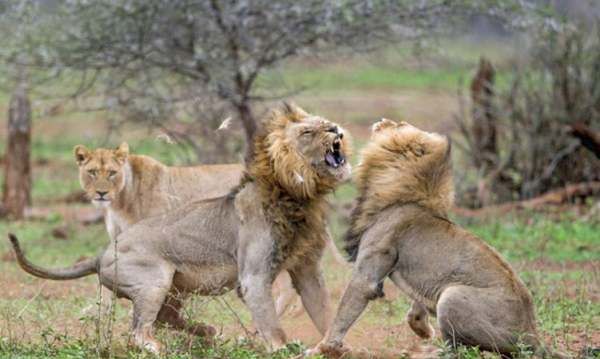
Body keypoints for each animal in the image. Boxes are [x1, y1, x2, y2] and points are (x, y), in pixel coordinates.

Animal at [9, 104, 352, 354]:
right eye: (308, 131)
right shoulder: (253, 276)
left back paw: (206, 333)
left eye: (327, 123)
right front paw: (283, 348)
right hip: (155, 278)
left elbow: (324, 311)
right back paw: (163, 346)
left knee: (163, 318)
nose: (336, 129)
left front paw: (336, 347)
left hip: (167, 286)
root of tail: (102, 253)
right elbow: (271, 322)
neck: (300, 196)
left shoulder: (307, 269)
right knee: (139, 331)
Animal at [310, 119, 556, 358]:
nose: (381, 120)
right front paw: (422, 329)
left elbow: (342, 314)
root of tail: (533, 335)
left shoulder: (367, 273)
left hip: (452, 297)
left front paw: (320, 349)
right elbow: (416, 304)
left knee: (458, 351)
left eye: (399, 124)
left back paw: (427, 352)